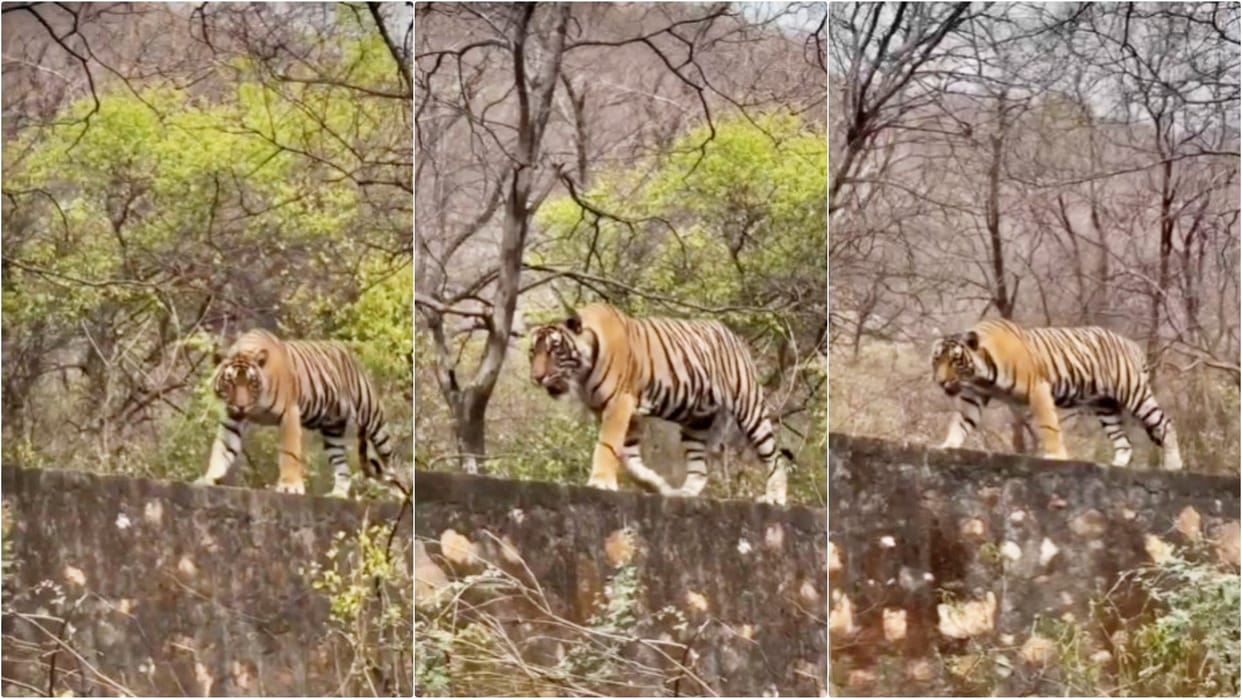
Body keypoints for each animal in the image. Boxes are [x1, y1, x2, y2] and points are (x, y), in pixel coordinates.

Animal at [195, 329, 402, 496]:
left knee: (391, 459)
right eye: (229, 383)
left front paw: (289, 486)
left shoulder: (289, 413)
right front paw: (209, 478)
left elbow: (289, 452)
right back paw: (338, 495)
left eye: (252, 383)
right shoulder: (232, 420)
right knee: (343, 467)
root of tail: (346, 350)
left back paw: (400, 494)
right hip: (332, 431)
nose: (241, 406)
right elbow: (222, 449)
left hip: (372, 416)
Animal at [528, 303, 793, 506]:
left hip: (749, 406)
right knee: (699, 469)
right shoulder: (625, 413)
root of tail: (730, 333)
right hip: (696, 422)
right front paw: (660, 485)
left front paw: (600, 482)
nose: (537, 377)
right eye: (533, 352)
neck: (582, 375)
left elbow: (607, 445)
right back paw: (683, 493)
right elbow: (629, 459)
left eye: (554, 351)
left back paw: (775, 497)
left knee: (774, 455)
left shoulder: (618, 403)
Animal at [931, 318, 1182, 471]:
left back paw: (1174, 465)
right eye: (937, 359)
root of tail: (1132, 345)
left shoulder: (1038, 388)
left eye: (955, 361)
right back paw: (1117, 466)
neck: (980, 375)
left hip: (1133, 393)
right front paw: (947, 446)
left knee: (1165, 424)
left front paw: (1056, 457)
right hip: (1105, 406)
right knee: (1124, 442)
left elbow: (1049, 426)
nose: (941, 381)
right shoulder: (972, 396)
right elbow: (960, 423)